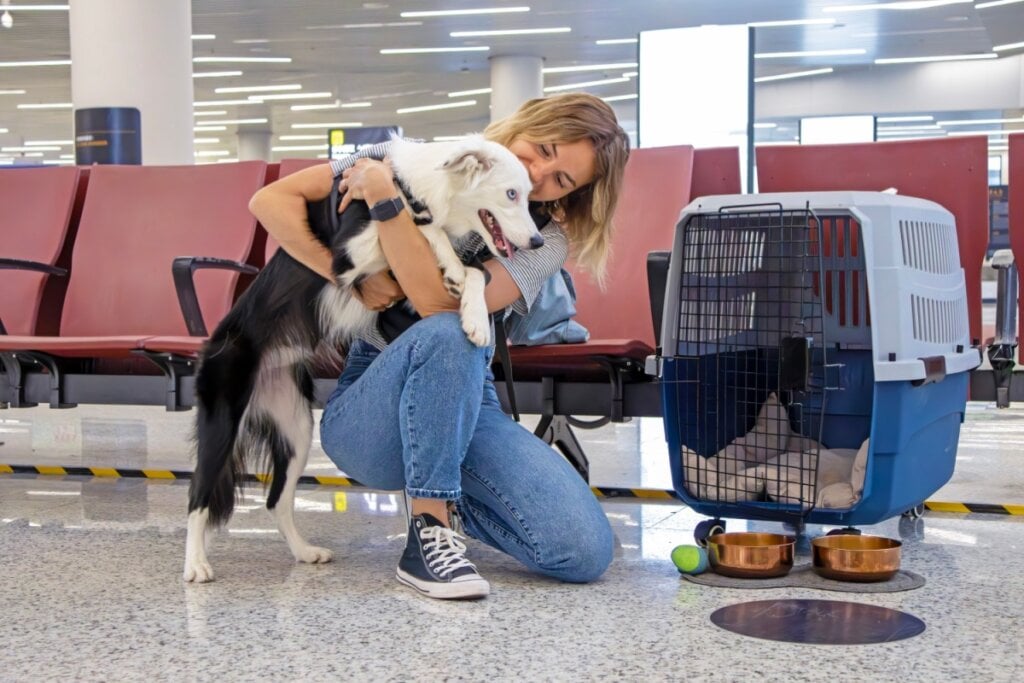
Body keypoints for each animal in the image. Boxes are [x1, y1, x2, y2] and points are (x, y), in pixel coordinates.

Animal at [183, 137, 540, 581]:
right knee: (198, 497)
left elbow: (476, 272)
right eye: (511, 194)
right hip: (222, 416)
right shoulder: (349, 255)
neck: (420, 187)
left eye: (528, 195)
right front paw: (445, 253)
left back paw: (304, 551)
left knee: (276, 501)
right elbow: (426, 228)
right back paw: (196, 564)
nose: (538, 242)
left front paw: (473, 313)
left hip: (297, 428)